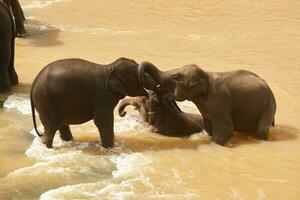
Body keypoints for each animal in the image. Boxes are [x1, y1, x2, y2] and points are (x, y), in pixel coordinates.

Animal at [30, 57, 162, 148]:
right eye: (138, 76)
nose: (152, 95)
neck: (110, 67)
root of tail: (34, 83)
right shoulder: (103, 96)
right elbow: (102, 120)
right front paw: (109, 148)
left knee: (61, 125)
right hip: (45, 102)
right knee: (51, 128)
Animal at [137, 61, 276, 145]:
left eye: (175, 77)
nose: (153, 94)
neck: (205, 75)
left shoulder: (220, 100)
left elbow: (226, 129)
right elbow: (209, 128)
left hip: (269, 106)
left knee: (262, 129)